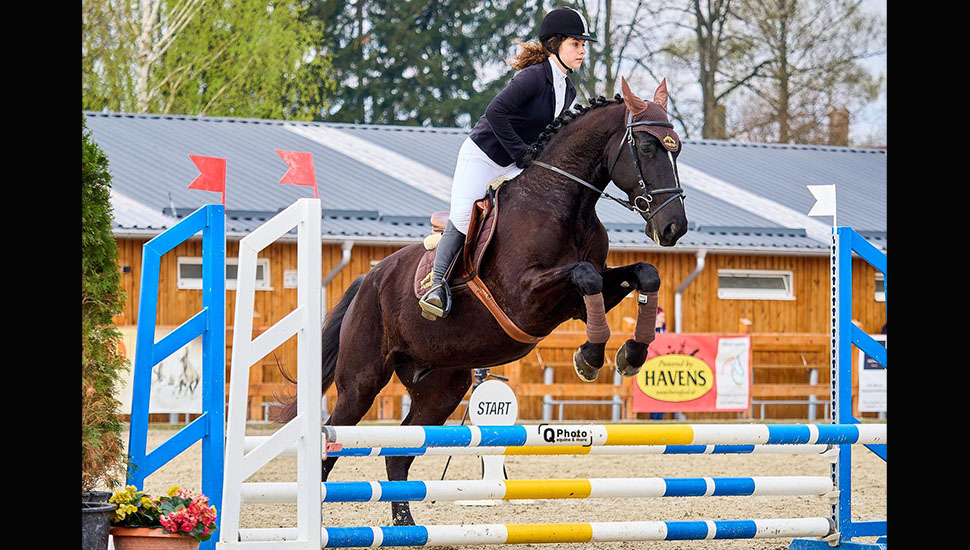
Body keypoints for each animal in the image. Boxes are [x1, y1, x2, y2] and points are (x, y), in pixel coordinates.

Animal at [278, 76, 688, 528]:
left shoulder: (575, 305)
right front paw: (591, 357)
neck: (564, 203)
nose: (674, 227)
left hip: (441, 387)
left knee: (400, 453)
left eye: (677, 150)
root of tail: (369, 278)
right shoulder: (527, 298)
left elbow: (642, 273)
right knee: (333, 440)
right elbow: (586, 274)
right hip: (362, 381)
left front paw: (630, 354)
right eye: (647, 147)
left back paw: (407, 526)